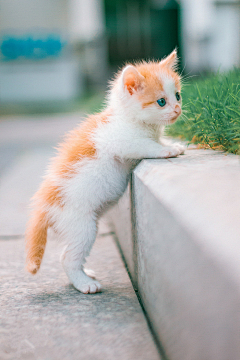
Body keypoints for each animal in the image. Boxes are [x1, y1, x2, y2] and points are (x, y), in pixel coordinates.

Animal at [25, 49, 184, 294]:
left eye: (178, 96)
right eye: (161, 101)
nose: (178, 109)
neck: (129, 120)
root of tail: (44, 204)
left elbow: (156, 140)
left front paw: (169, 142)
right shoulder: (121, 140)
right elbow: (146, 146)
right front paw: (168, 149)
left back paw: (84, 274)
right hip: (81, 224)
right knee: (67, 257)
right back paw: (84, 284)